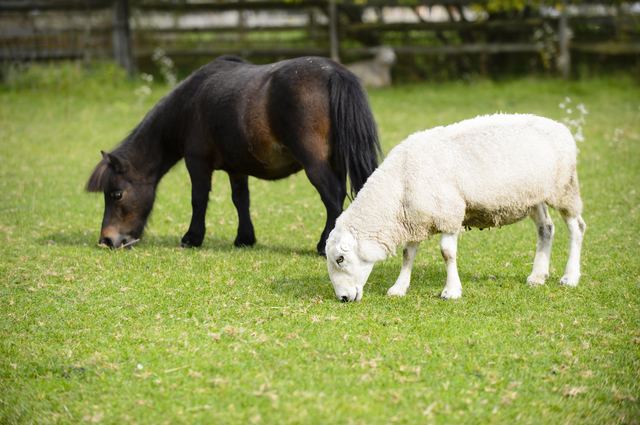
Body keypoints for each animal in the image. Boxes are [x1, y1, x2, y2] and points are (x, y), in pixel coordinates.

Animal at [87, 56, 382, 255]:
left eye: (116, 194)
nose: (107, 240)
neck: (190, 103)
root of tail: (332, 72)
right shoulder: (237, 168)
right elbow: (241, 200)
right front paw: (245, 238)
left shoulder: (197, 163)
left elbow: (198, 199)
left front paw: (192, 238)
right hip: (336, 161)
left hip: (314, 163)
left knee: (332, 196)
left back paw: (324, 245)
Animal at [328, 112, 588, 302]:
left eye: (340, 259)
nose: (343, 298)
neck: (398, 185)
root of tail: (560, 127)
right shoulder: (415, 218)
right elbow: (408, 254)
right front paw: (399, 288)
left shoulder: (449, 214)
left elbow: (447, 253)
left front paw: (451, 291)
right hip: (534, 197)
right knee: (546, 229)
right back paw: (538, 276)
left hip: (564, 188)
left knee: (576, 227)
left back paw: (570, 277)